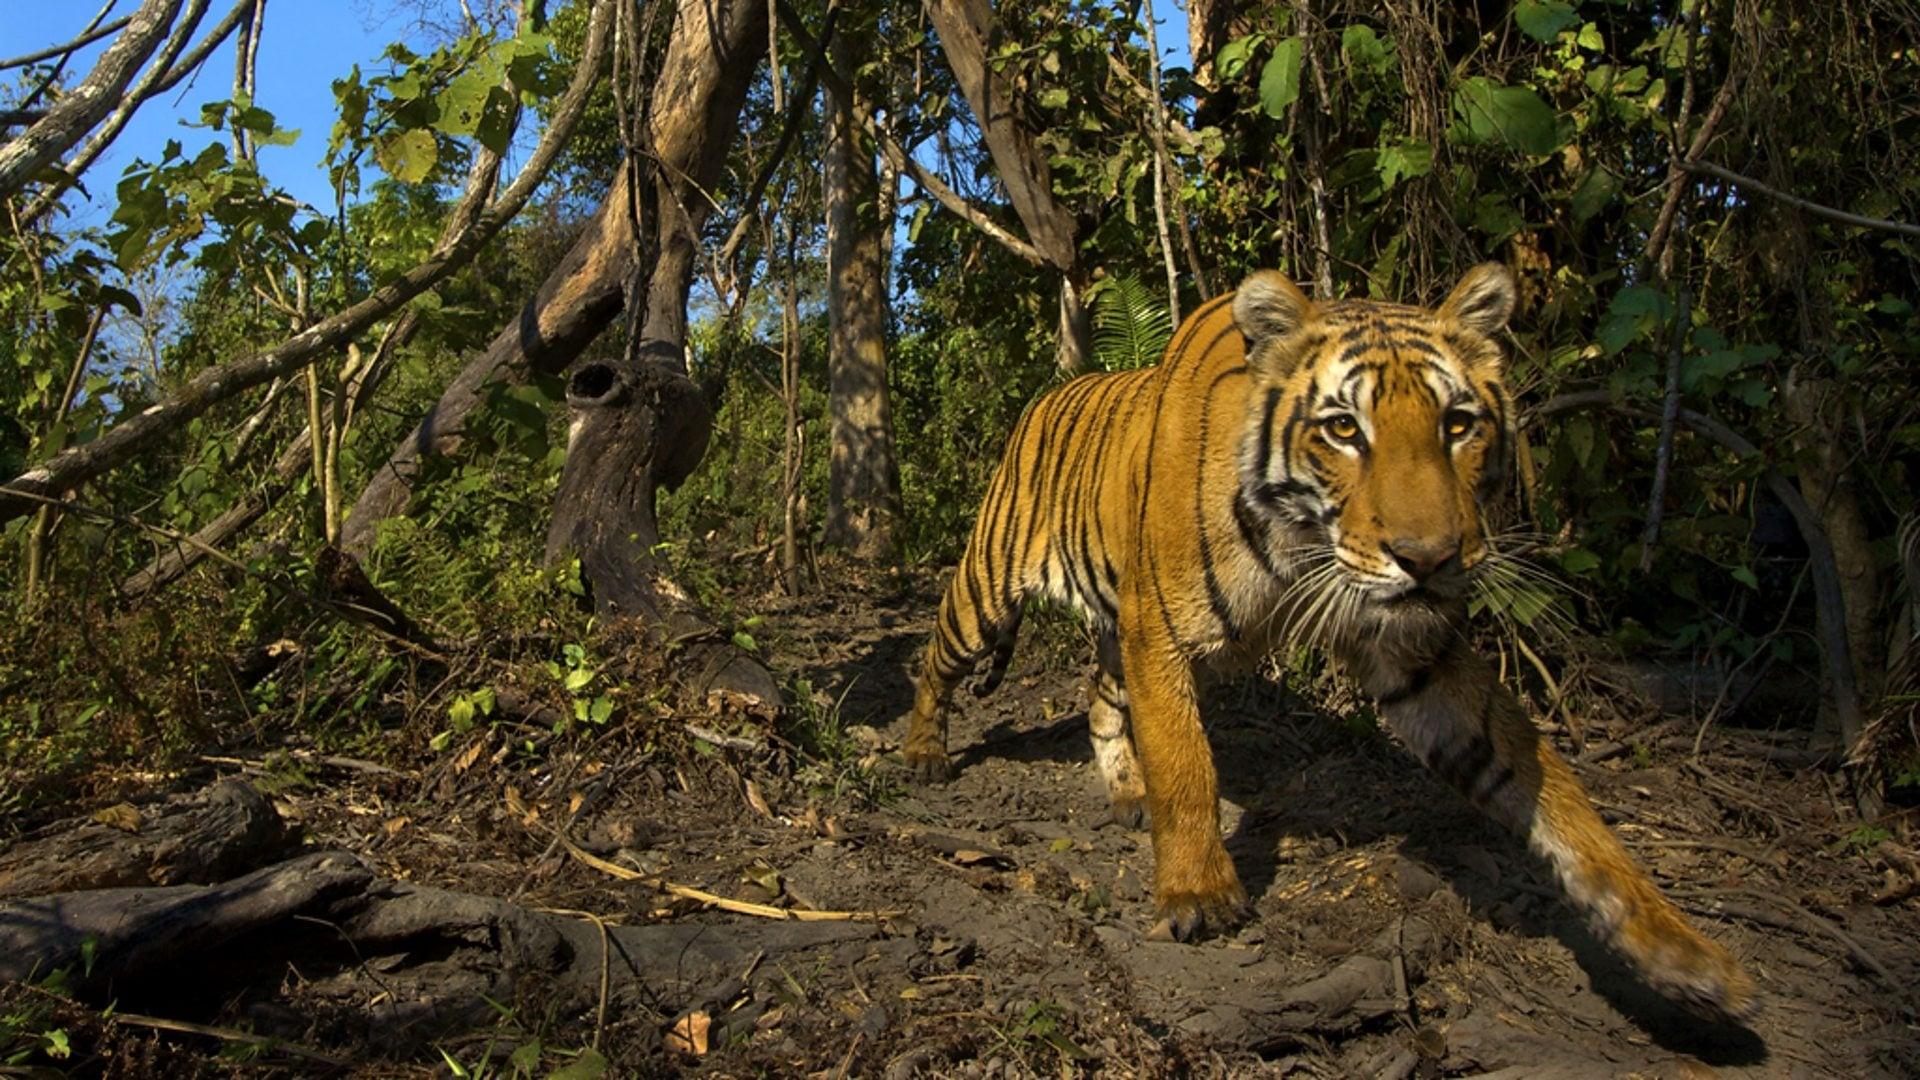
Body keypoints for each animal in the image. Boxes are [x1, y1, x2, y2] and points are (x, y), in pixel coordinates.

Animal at [898, 263, 1758, 1014]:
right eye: (1344, 429)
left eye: (1458, 425)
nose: (1430, 559)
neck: (1305, 545)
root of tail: (1045, 397)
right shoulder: (1162, 630)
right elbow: (1186, 764)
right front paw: (1200, 894)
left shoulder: (1409, 649)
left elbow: (1544, 783)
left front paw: (1676, 949)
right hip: (991, 588)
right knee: (934, 658)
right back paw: (924, 755)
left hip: (1112, 626)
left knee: (1100, 697)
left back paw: (1124, 792)